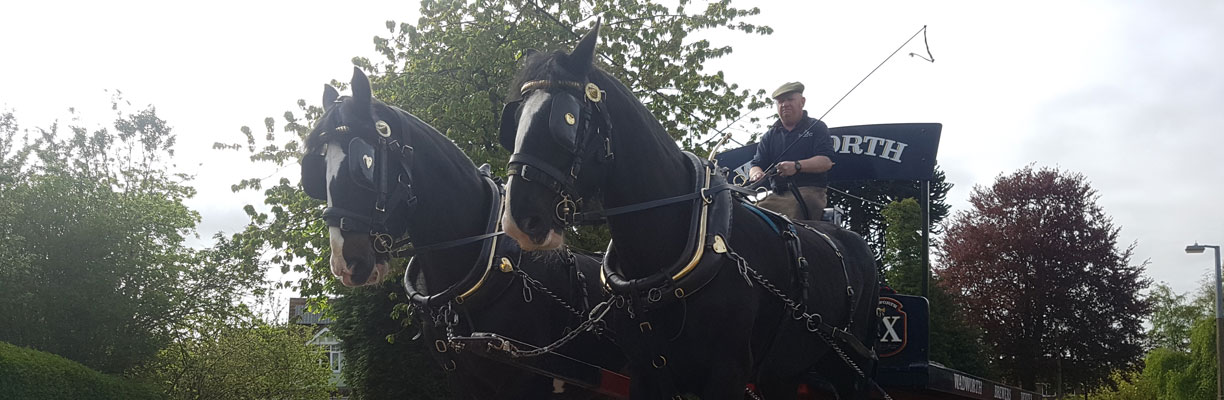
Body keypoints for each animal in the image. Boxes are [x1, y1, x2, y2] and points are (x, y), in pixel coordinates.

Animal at [496, 25, 881, 400]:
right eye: (512, 123)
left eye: (567, 120)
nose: (517, 219)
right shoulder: (645, 370)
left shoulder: (729, 372)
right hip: (785, 370)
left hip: (850, 366)